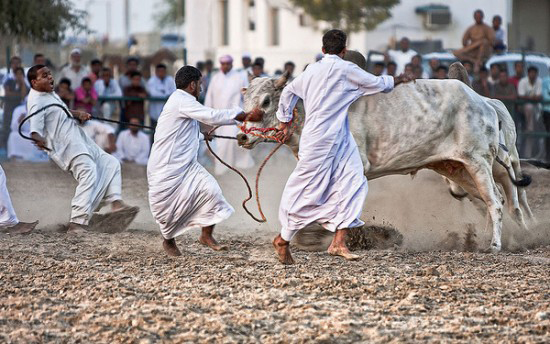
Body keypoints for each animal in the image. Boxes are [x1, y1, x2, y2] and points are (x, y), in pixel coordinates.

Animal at [239, 74, 520, 253]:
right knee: (491, 200)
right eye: (245, 101)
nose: (242, 136)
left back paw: (495, 245)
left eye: (266, 101)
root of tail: (484, 101)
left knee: (495, 202)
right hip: (456, 168)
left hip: (478, 162)